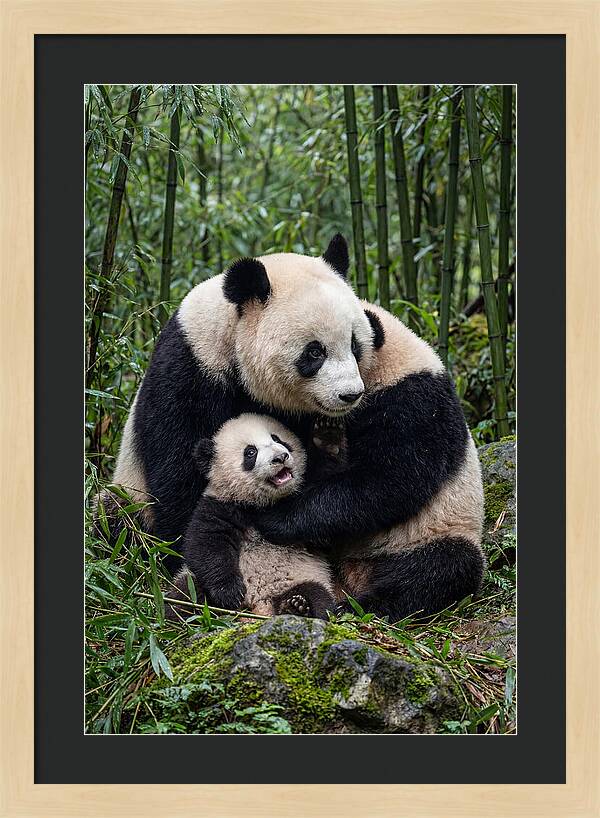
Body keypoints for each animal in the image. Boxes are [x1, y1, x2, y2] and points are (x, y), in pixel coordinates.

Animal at [169, 413, 335, 619]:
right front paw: (229, 593)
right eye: (250, 452)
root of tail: (259, 605)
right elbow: (206, 544)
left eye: (278, 439)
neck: (260, 502)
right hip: (192, 582)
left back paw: (297, 606)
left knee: (318, 596)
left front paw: (327, 438)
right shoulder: (219, 505)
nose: (280, 457)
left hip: (304, 577)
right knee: (182, 597)